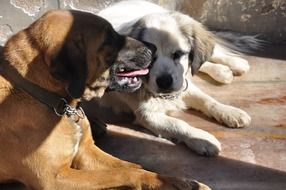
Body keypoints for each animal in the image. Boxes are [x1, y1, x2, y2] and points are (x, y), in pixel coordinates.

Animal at [0, 10, 210, 190]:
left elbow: (134, 166)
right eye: (109, 39)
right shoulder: (53, 179)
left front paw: (178, 182)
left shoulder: (86, 152)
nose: (152, 47)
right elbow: (125, 172)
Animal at [97, 0, 251, 156]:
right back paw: (223, 71)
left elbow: (207, 100)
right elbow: (179, 124)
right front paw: (201, 138)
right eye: (150, 57)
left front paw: (229, 112)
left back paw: (233, 64)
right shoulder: (147, 115)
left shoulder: (182, 84)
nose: (164, 82)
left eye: (178, 54)